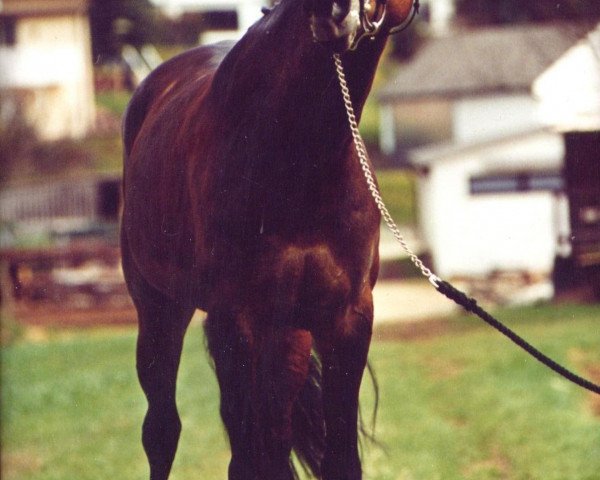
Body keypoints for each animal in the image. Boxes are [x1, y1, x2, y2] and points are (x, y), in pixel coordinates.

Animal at [122, 1, 418, 478]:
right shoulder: (237, 319)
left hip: (288, 336)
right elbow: (252, 458)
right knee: (163, 430)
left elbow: (339, 459)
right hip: (160, 309)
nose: (334, 11)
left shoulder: (347, 320)